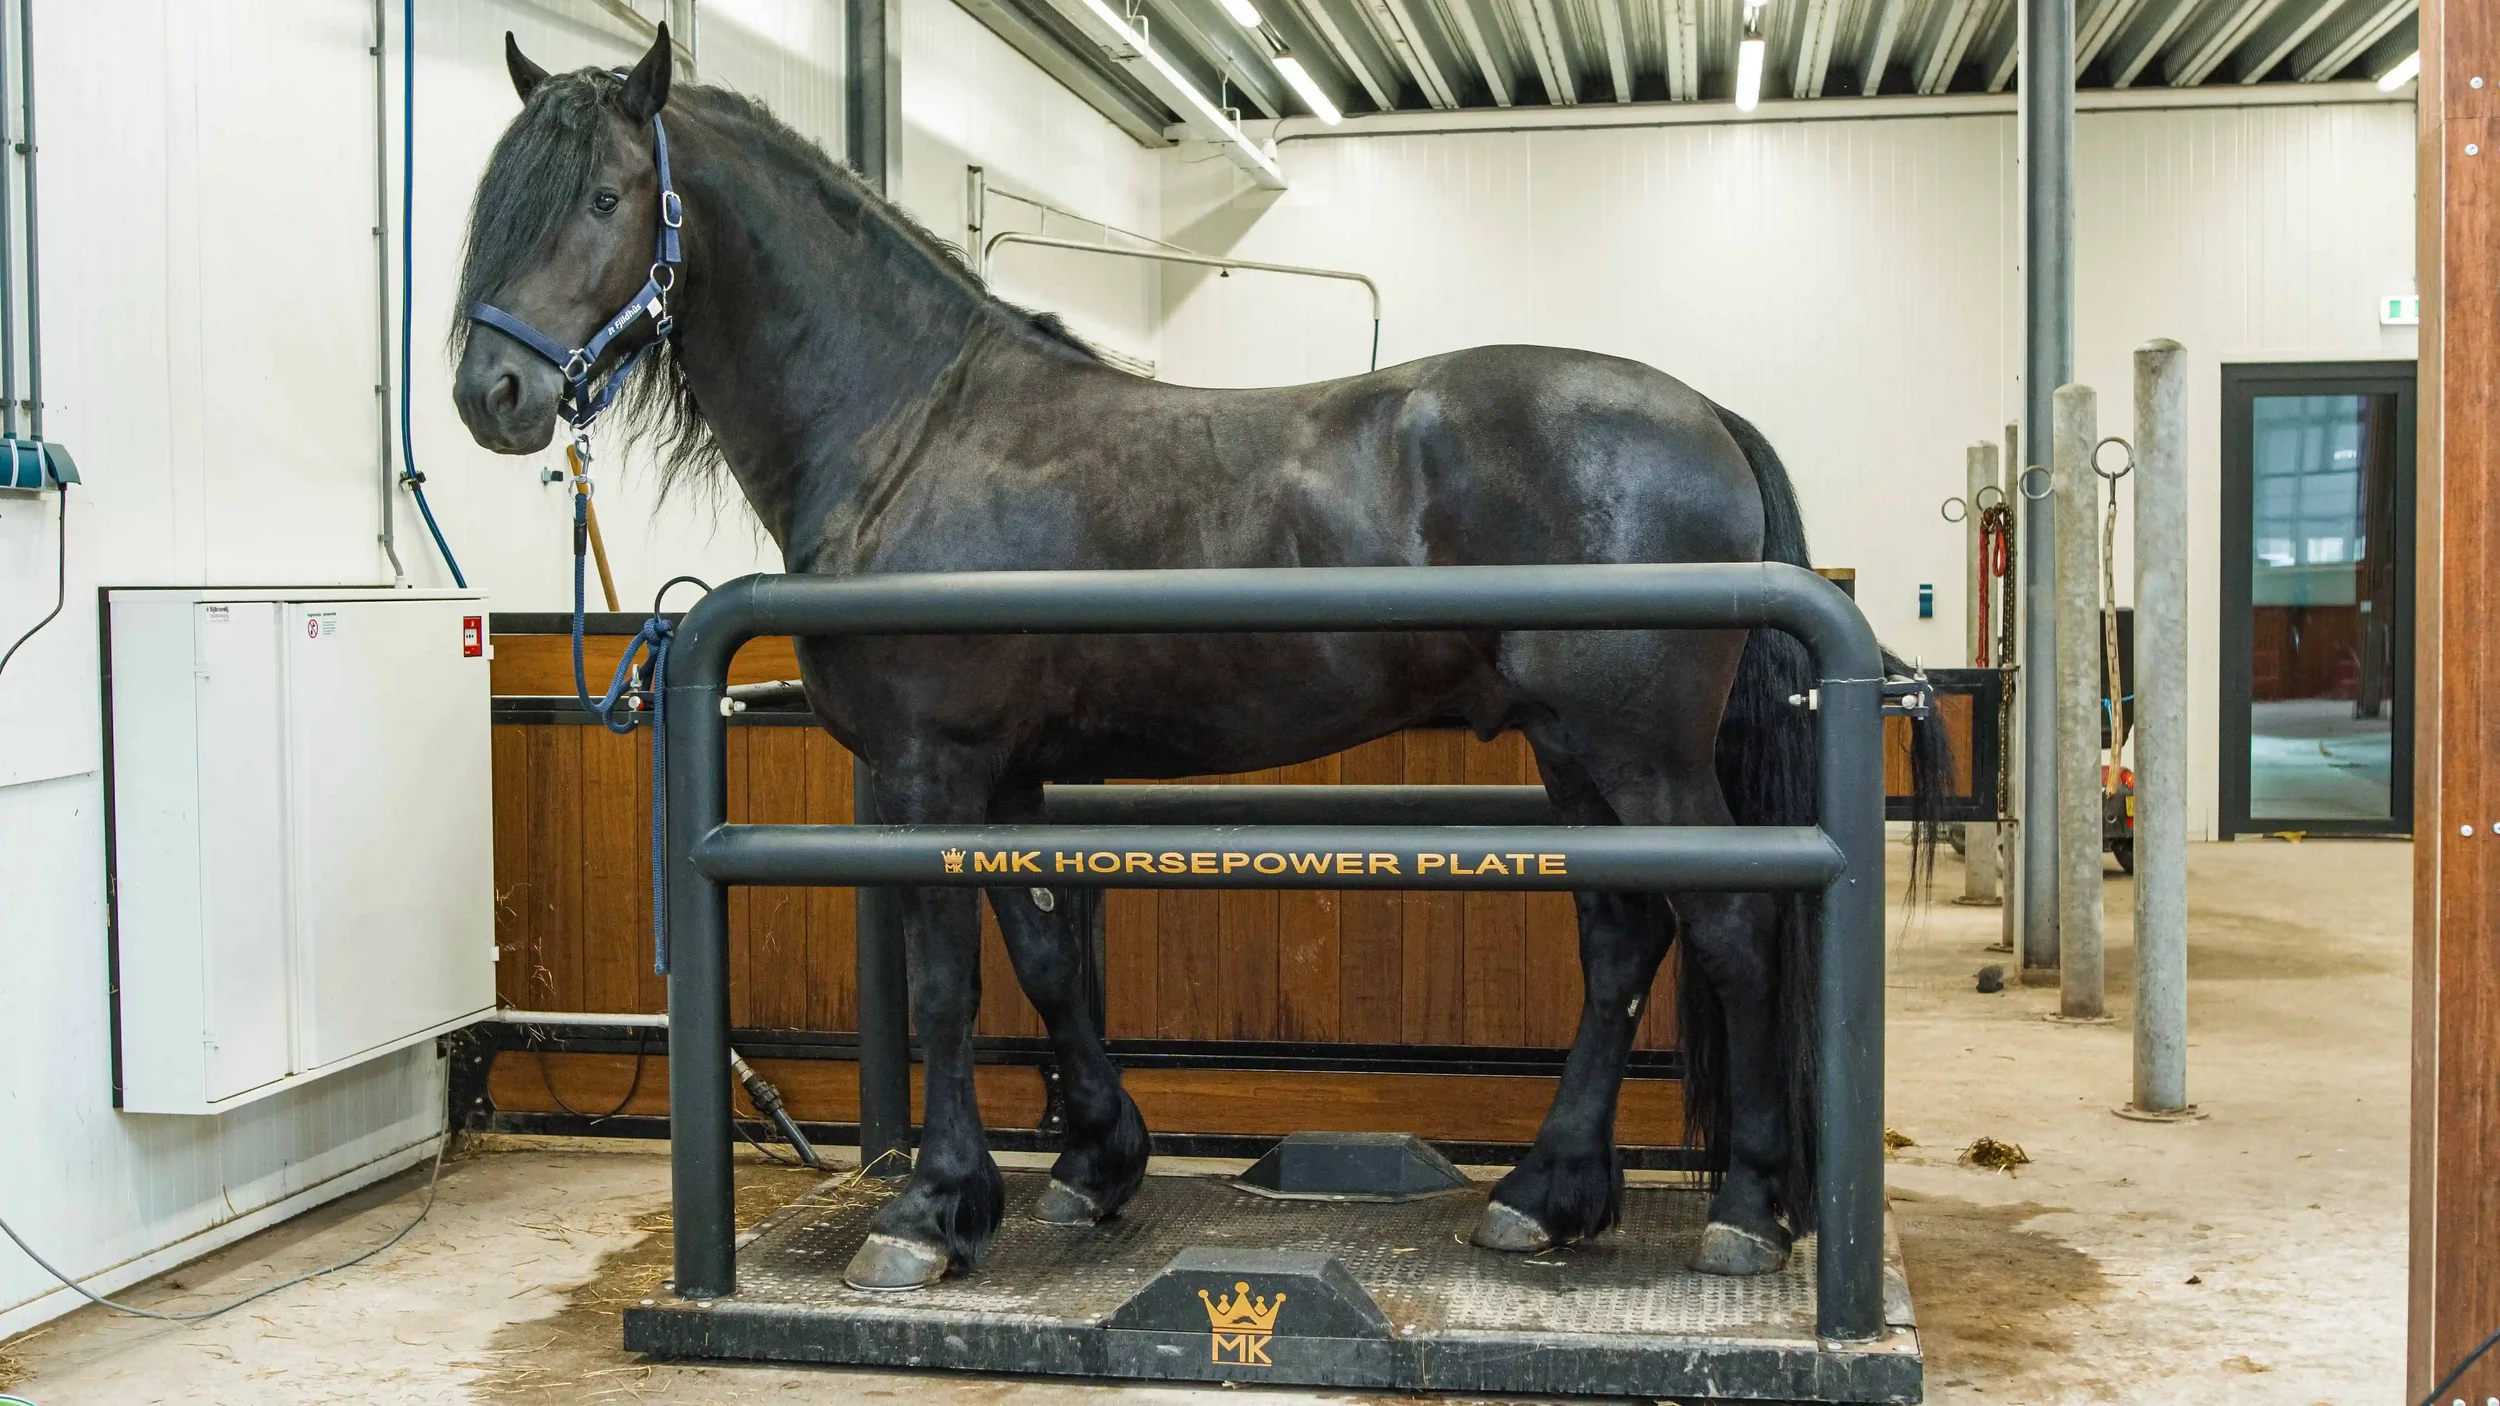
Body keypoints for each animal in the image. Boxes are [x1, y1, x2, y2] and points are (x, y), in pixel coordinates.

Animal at [452, 25, 1943, 1292]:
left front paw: (927, 1211)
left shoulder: (927, 771)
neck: (911, 426)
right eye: (494, 203)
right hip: (1575, 752)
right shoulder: (1007, 777)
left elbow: (945, 980)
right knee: (1625, 935)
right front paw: (1091, 1163)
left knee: (1733, 926)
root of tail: (1705, 413)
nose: (491, 395)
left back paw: (1743, 1208)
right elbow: (1044, 952)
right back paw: (1548, 1191)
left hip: (1637, 752)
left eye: (602, 197)